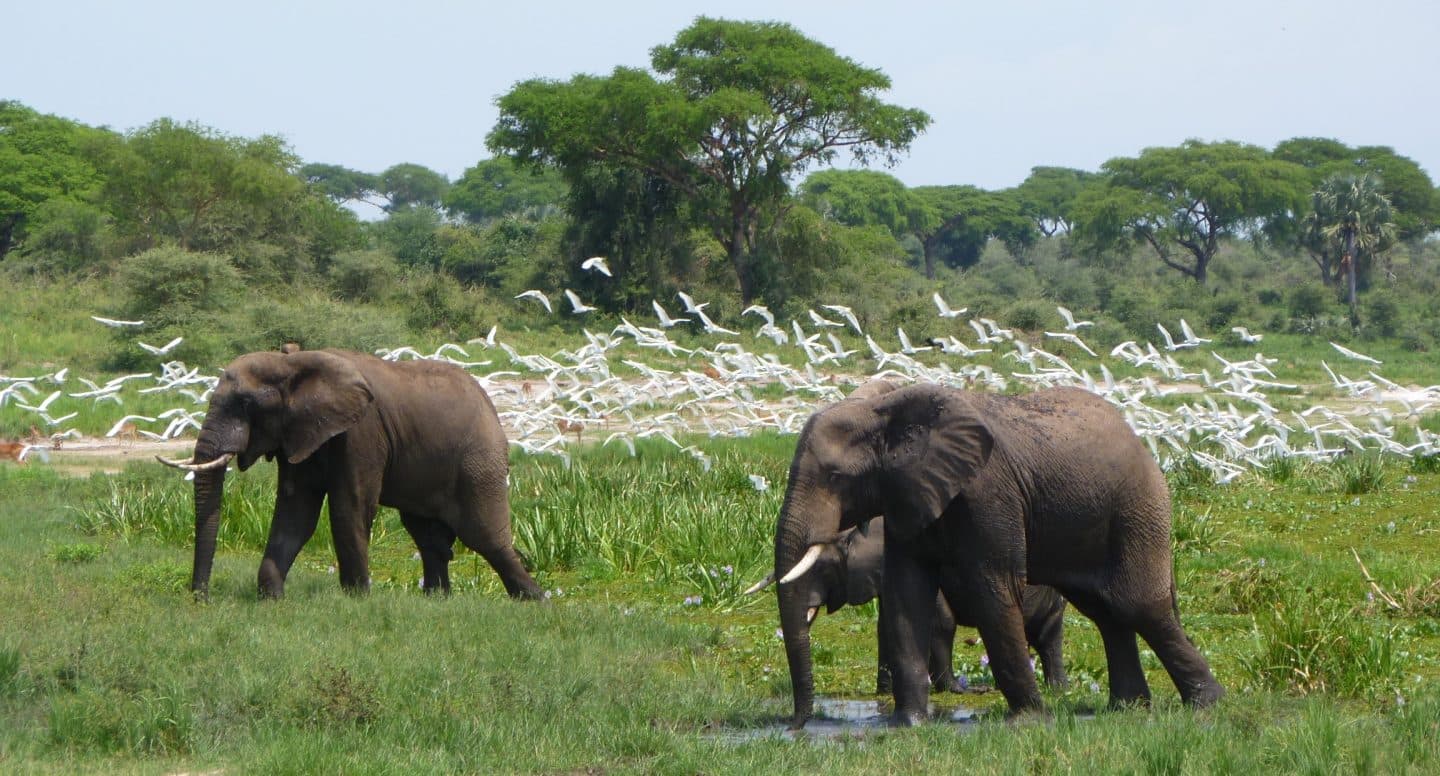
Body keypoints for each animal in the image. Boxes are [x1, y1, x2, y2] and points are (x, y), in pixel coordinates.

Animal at [156, 349, 541, 604]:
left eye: (246, 405)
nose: (200, 599)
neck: (292, 362)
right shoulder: (302, 434)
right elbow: (296, 512)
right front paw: (272, 598)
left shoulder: (360, 432)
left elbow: (349, 506)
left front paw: (356, 599)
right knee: (428, 535)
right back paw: (436, 601)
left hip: (479, 461)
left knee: (484, 535)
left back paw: (536, 600)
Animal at [771, 382, 1221, 728]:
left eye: (835, 477)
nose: (796, 727)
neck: (884, 409)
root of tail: (1142, 444)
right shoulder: (906, 495)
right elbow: (906, 598)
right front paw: (907, 725)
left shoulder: (989, 493)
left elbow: (993, 591)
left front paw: (1029, 722)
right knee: (1107, 611)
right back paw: (1127, 710)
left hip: (1137, 508)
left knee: (1137, 605)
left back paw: (1206, 706)